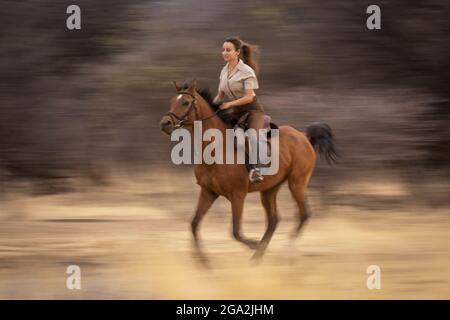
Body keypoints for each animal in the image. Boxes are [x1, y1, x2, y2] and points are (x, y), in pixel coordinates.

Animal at [159, 79, 338, 260]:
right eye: (171, 101)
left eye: (185, 102)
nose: (165, 124)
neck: (216, 149)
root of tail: (304, 137)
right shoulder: (208, 192)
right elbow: (194, 224)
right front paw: (203, 262)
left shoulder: (237, 195)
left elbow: (236, 231)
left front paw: (253, 244)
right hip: (269, 190)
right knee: (274, 220)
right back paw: (258, 257)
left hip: (297, 183)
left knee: (303, 215)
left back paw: (285, 252)